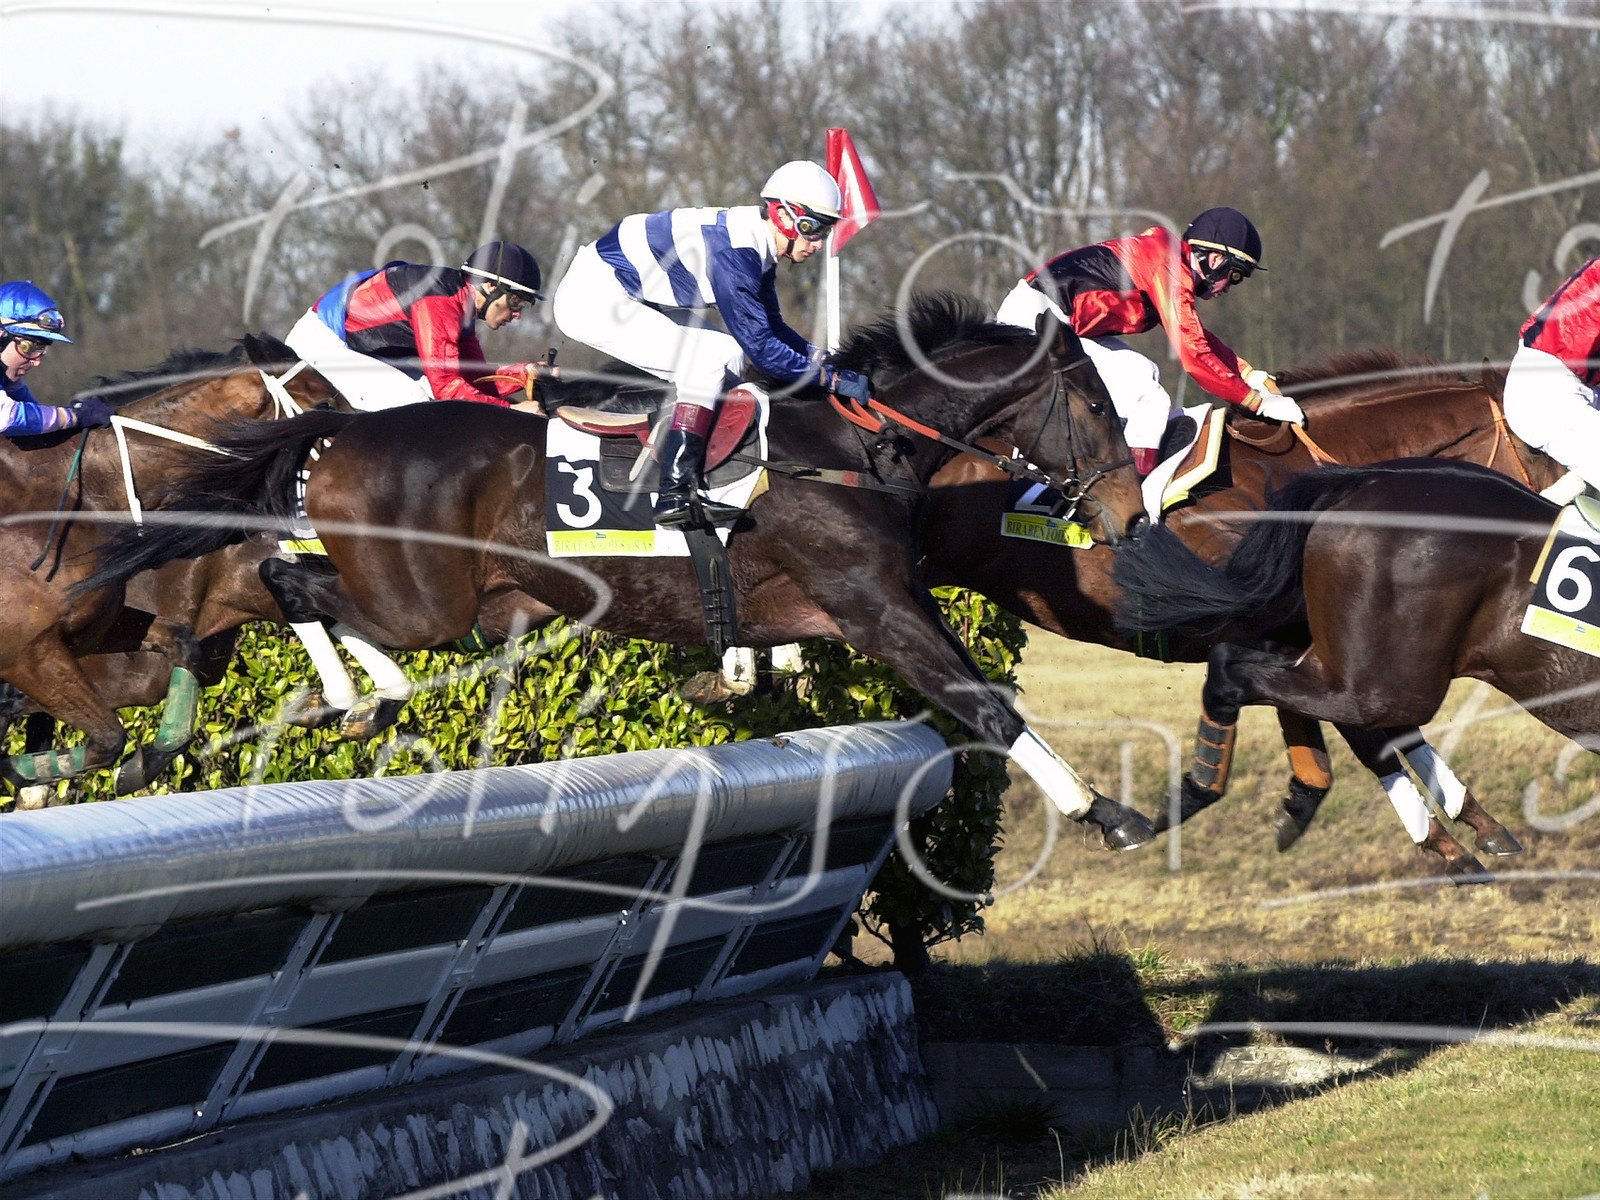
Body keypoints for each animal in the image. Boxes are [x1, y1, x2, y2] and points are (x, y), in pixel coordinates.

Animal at [0, 335, 342, 791]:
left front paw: (144, 763)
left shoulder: (94, 631)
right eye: (325, 402)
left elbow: (181, 647)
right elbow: (107, 739)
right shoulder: (30, 655)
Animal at [78, 294, 1160, 844]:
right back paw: (359, 697)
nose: (1131, 515)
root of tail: (342, 429)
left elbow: (760, 665)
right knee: (288, 582)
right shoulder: (876, 605)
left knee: (284, 583)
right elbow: (987, 707)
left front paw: (726, 679)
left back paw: (357, 699)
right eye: (1096, 406)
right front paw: (1107, 812)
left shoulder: (822, 607)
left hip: (471, 597)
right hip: (424, 597)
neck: (846, 445)